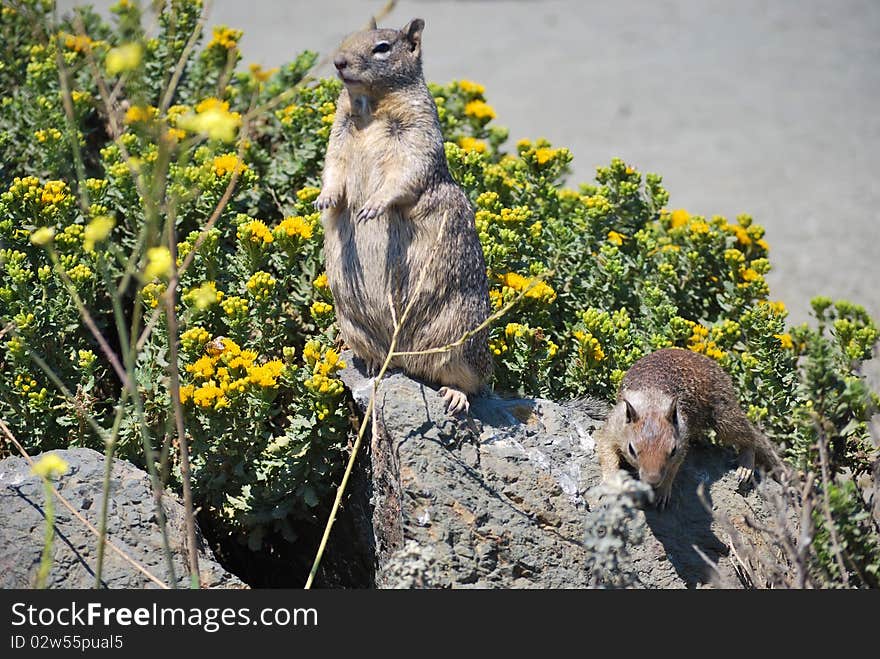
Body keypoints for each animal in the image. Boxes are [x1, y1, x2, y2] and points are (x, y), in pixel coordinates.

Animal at [318, 19, 496, 412]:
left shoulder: (417, 132)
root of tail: (404, 358)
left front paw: (373, 206)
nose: (338, 61)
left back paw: (455, 396)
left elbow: (405, 174)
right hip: (352, 324)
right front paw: (324, 200)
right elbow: (333, 169)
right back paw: (372, 364)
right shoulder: (338, 135)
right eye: (347, 37)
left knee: (472, 383)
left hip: (461, 338)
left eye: (382, 47)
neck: (369, 106)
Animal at [596, 348, 780, 508]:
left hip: (723, 414)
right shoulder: (613, 426)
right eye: (632, 450)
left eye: (672, 451)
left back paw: (745, 466)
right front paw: (611, 484)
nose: (653, 480)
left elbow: (674, 468)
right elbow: (606, 451)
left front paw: (663, 491)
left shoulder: (682, 440)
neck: (651, 404)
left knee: (749, 436)